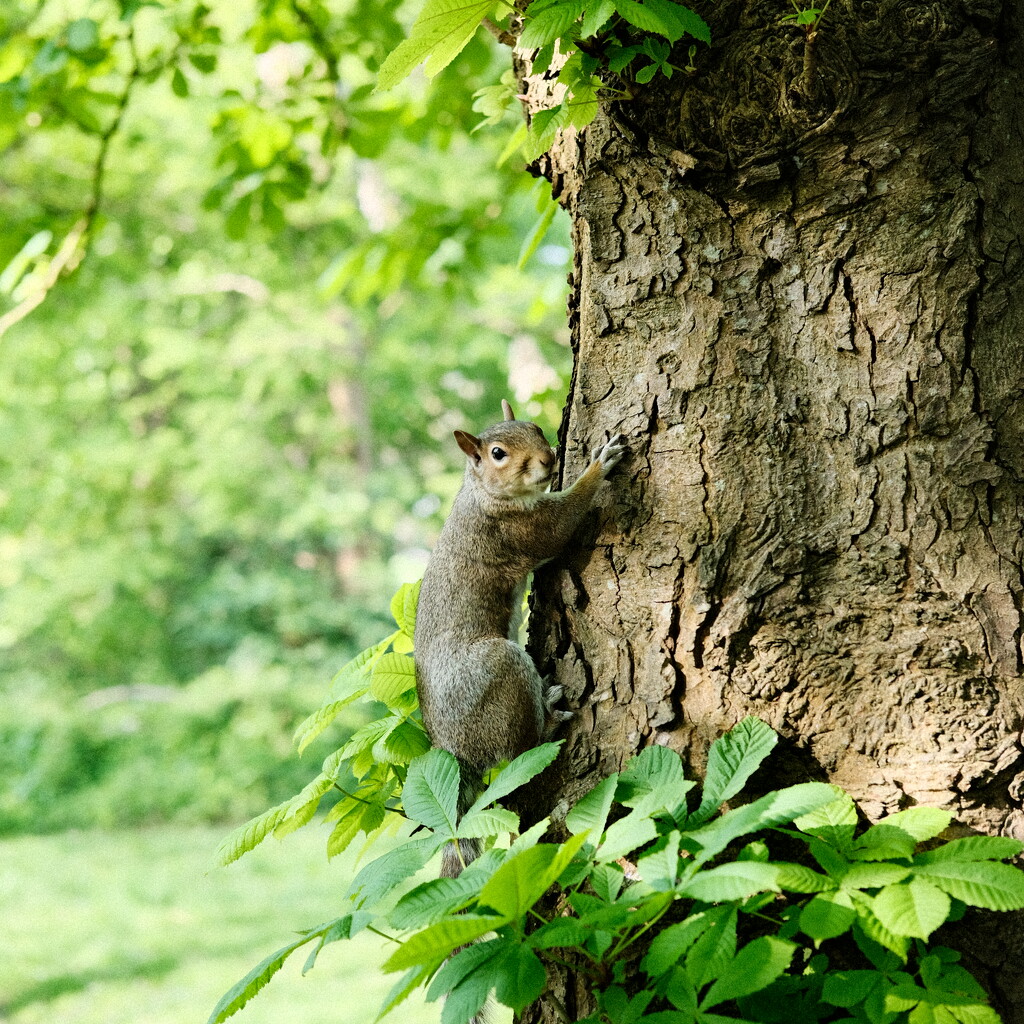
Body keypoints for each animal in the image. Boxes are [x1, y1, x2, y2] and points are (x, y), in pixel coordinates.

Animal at [413, 395, 622, 876]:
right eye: (497, 454)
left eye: (536, 429)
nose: (549, 459)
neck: (483, 493)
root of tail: (453, 749)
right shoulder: (516, 529)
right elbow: (562, 522)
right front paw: (598, 466)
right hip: (498, 670)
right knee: (519, 749)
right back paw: (548, 719)